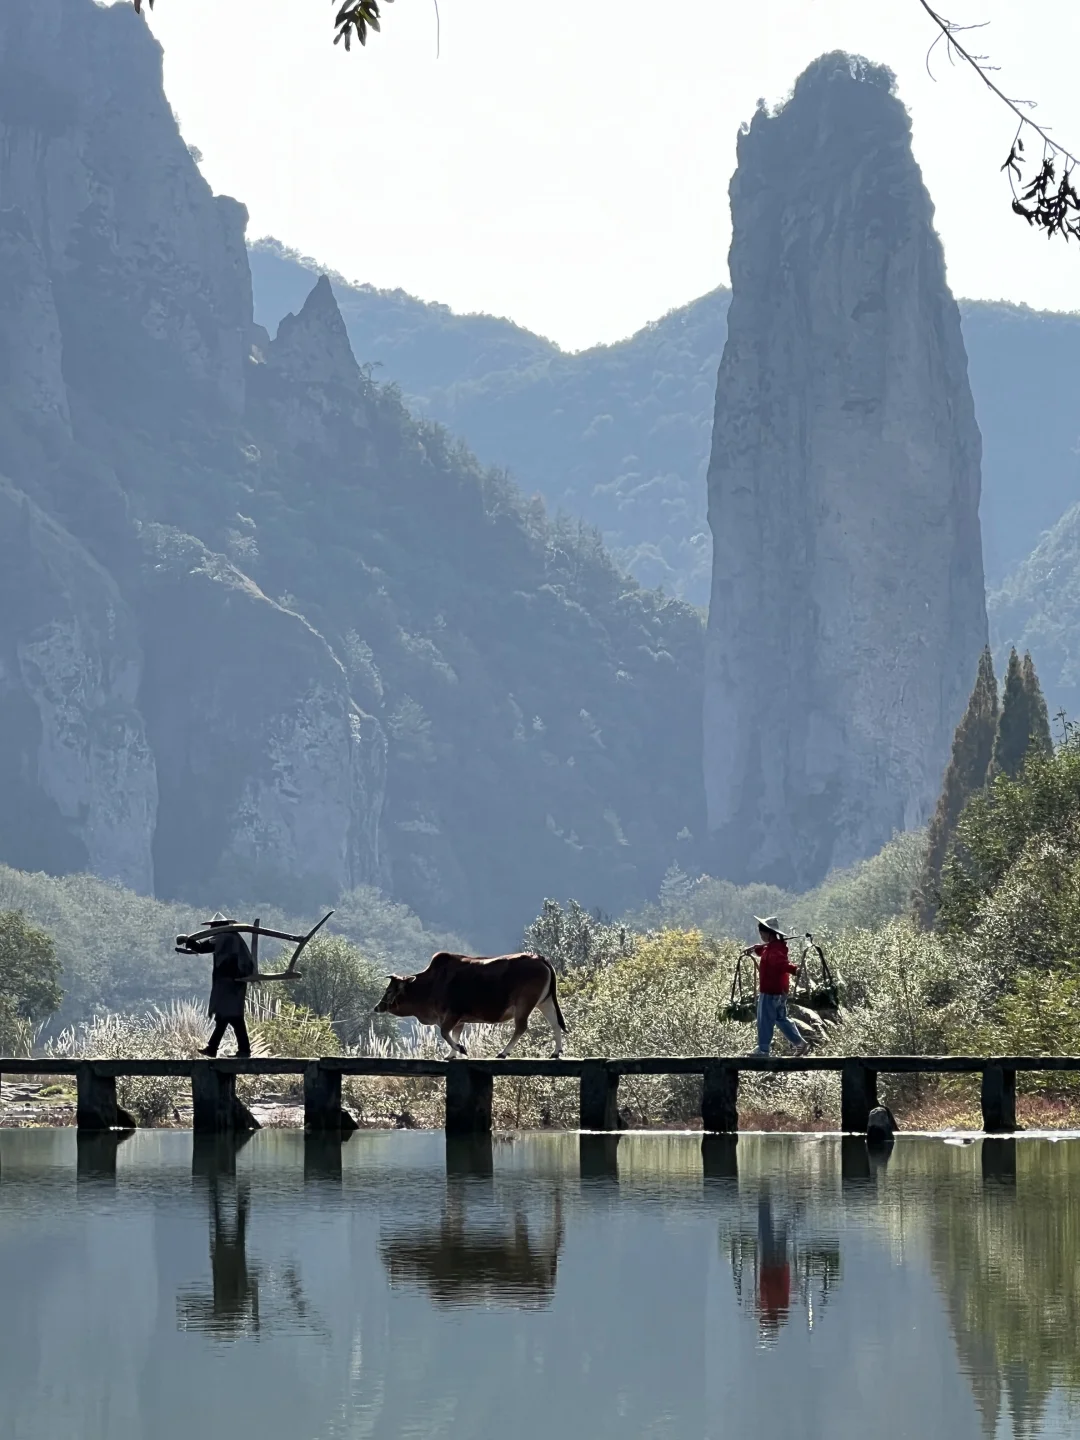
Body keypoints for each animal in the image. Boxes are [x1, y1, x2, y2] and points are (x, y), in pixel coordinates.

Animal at [377, 956, 570, 1059]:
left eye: (389, 991)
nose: (377, 1007)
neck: (432, 983)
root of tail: (539, 958)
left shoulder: (452, 1014)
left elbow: (445, 1033)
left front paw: (460, 1049)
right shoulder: (458, 1020)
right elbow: (454, 1034)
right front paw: (452, 1054)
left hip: (524, 1003)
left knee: (521, 1027)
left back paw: (503, 1052)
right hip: (544, 1002)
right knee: (555, 1023)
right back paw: (556, 1052)